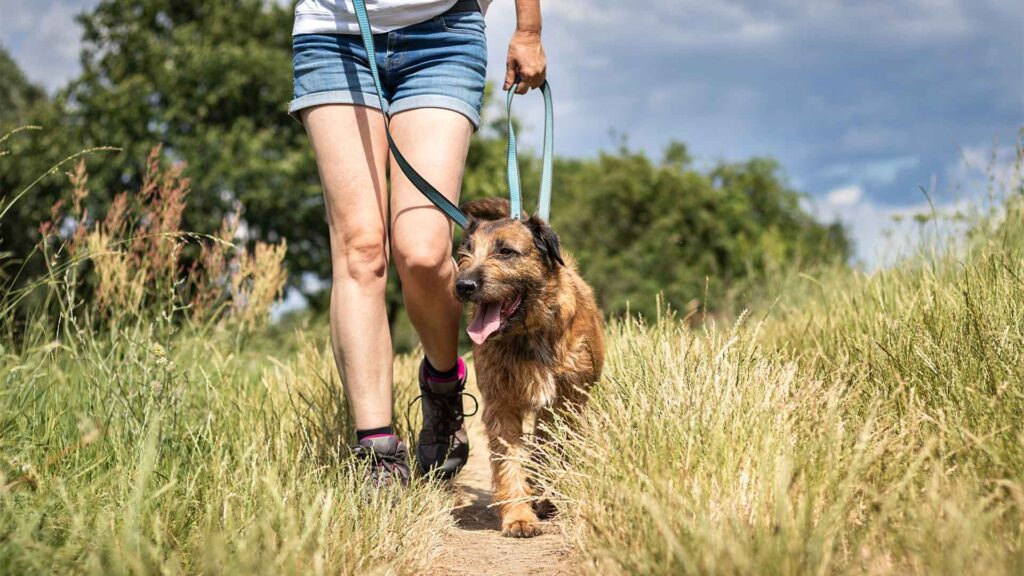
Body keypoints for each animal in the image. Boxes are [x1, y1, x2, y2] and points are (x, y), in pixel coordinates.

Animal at [452, 198, 602, 537]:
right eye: (465, 252)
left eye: (506, 251)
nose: (464, 285)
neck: (529, 333)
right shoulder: (501, 405)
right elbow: (510, 461)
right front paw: (519, 517)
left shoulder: (566, 402)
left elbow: (553, 450)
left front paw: (544, 498)